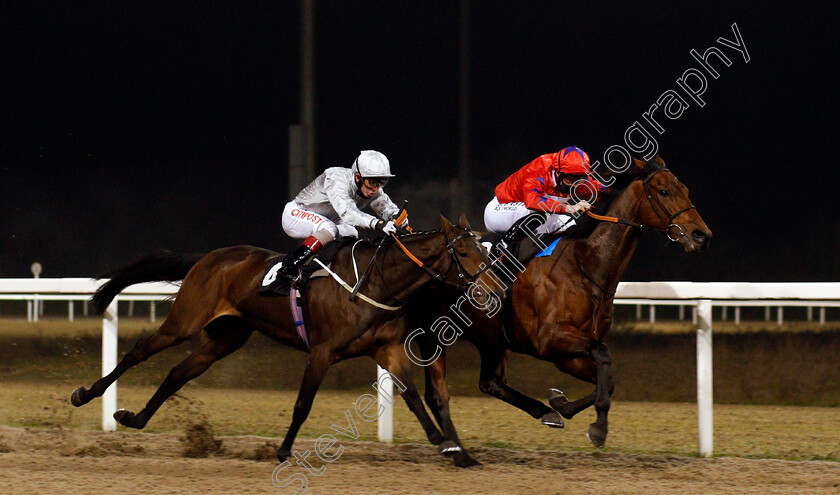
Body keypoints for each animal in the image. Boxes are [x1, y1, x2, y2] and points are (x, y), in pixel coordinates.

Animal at [72, 215, 496, 466]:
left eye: (483, 247)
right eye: (462, 250)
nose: (491, 288)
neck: (374, 283)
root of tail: (208, 258)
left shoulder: (387, 349)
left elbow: (412, 397)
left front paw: (448, 445)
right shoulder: (322, 352)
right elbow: (303, 404)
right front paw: (284, 450)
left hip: (224, 338)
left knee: (178, 373)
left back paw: (134, 418)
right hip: (186, 320)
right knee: (139, 352)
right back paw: (85, 394)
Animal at [406, 157, 708, 452]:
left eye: (686, 190)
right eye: (664, 191)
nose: (701, 235)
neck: (584, 265)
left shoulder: (568, 355)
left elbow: (607, 380)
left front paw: (559, 403)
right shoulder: (550, 340)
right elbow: (604, 354)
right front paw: (599, 428)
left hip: (490, 338)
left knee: (490, 383)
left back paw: (544, 412)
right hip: (433, 334)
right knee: (437, 390)